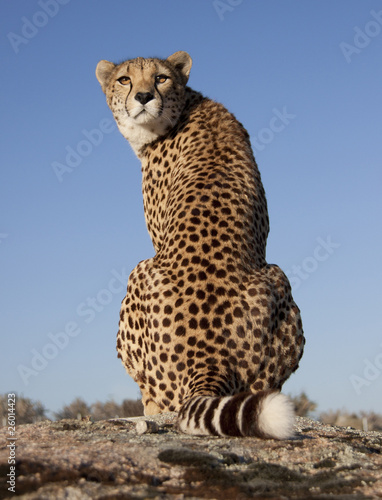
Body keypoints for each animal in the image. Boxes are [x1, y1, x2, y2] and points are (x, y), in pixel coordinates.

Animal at [96, 51, 304, 438]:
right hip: (278, 277)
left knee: (158, 395)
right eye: (124, 80)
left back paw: (149, 408)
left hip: (139, 270)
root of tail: (211, 358)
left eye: (161, 78)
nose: (144, 96)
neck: (185, 106)